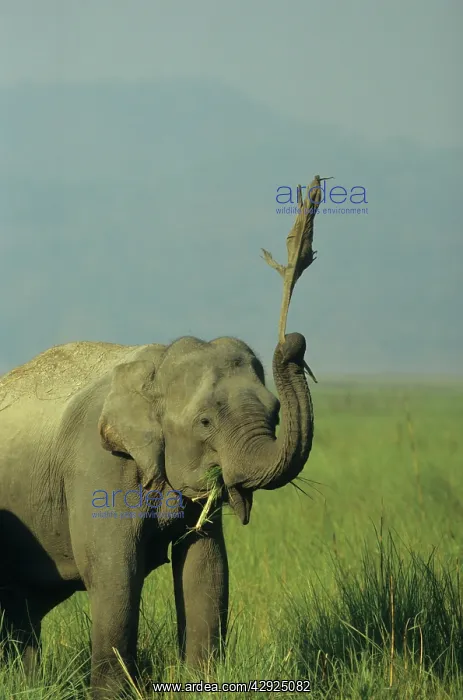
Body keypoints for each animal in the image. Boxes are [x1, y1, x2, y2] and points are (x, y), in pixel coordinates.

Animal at [0, 331, 314, 697]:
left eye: (275, 413)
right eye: (205, 422)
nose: (294, 342)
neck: (157, 368)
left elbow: (205, 564)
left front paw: (201, 685)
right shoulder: (97, 464)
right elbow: (115, 570)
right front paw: (113, 695)